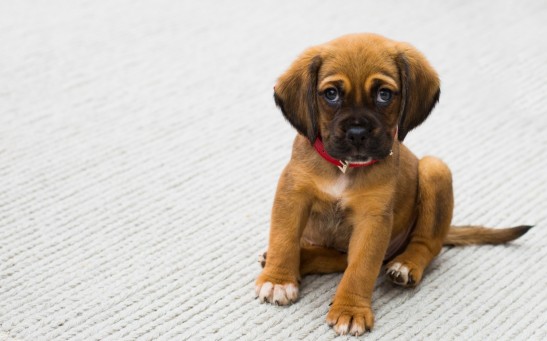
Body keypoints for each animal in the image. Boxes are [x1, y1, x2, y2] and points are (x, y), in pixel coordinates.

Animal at [256, 33, 536, 336]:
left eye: (384, 94)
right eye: (331, 94)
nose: (357, 133)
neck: (344, 168)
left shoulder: (373, 220)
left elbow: (361, 269)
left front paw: (350, 310)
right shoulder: (292, 196)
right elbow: (283, 239)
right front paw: (278, 279)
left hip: (435, 169)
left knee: (427, 244)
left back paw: (406, 265)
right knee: (337, 258)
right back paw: (299, 259)